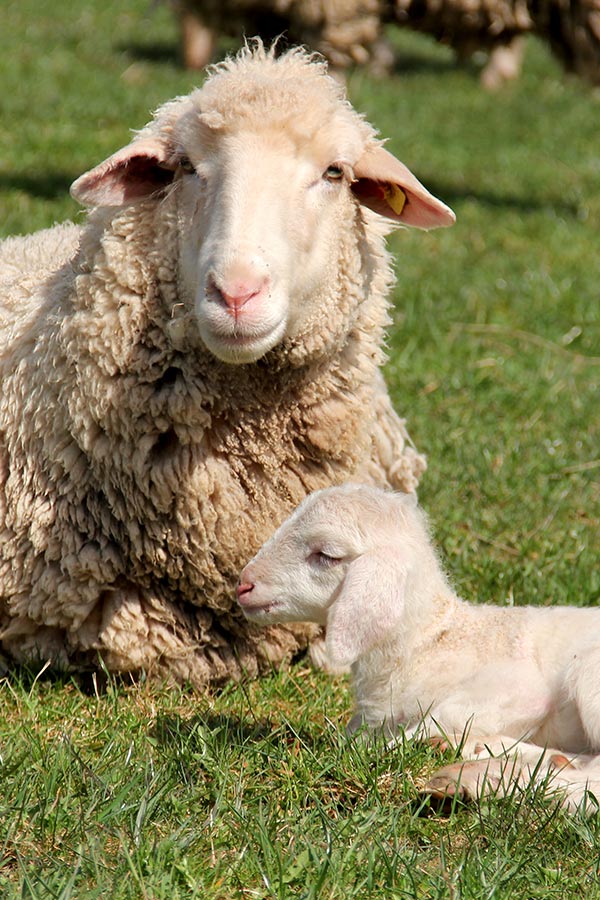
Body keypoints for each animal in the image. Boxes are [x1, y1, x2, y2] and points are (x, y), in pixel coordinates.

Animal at [237, 486, 600, 816]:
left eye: (325, 555)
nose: (243, 584)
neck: (429, 642)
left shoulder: (521, 687)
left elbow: (420, 726)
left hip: (587, 675)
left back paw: (468, 777)